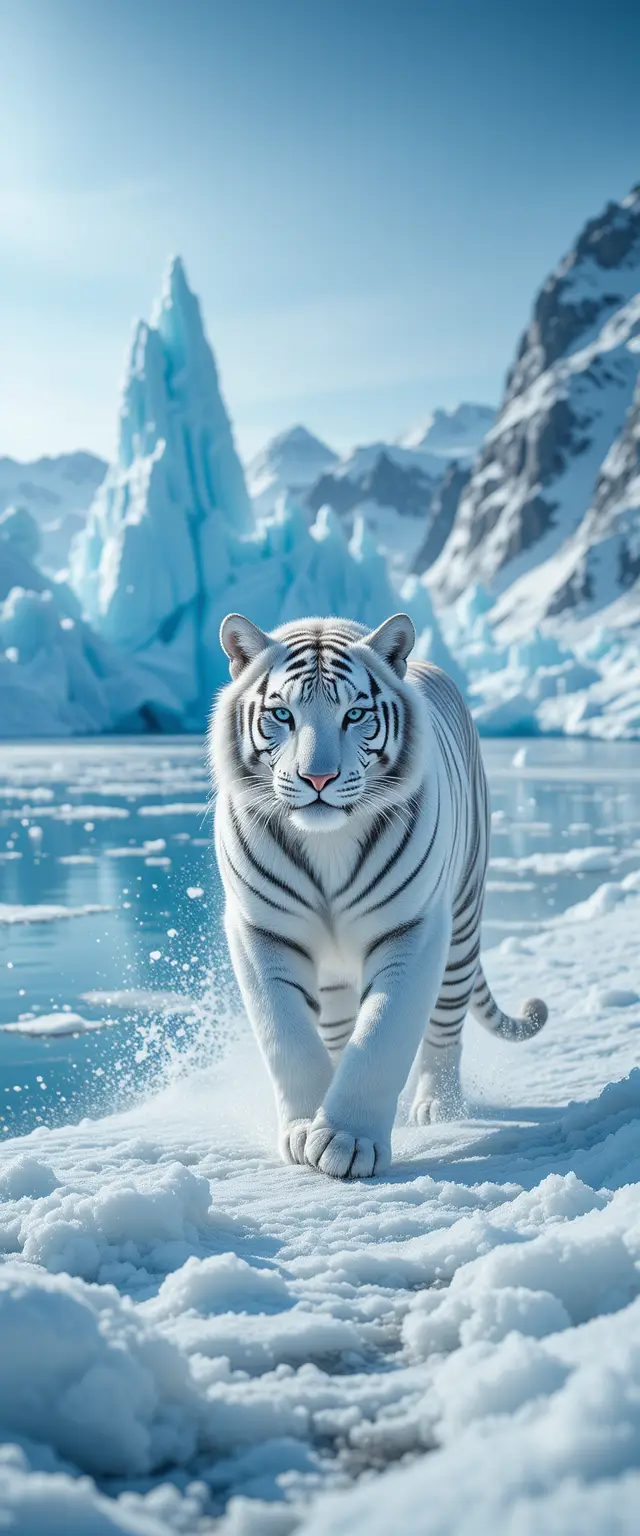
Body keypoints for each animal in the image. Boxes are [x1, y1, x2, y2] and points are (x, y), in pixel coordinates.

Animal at [209, 611, 547, 1180]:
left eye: (354, 714)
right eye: (282, 714)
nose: (317, 777)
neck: (326, 842)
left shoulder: (414, 928)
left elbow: (381, 1035)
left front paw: (348, 1141)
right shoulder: (261, 930)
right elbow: (288, 1036)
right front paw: (305, 1130)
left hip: (461, 925)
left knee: (446, 1025)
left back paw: (438, 1108)